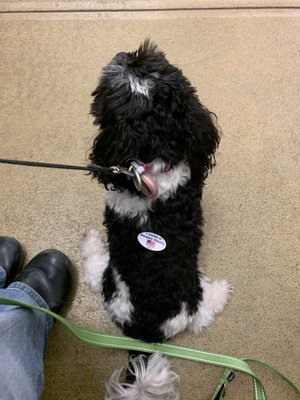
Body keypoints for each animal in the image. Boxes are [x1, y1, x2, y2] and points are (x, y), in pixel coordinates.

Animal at [80, 39, 232, 398]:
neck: (155, 163)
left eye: (112, 84)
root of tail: (147, 336)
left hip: (109, 277)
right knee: (201, 316)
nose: (128, 55)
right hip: (193, 295)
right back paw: (220, 293)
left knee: (93, 267)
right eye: (153, 62)